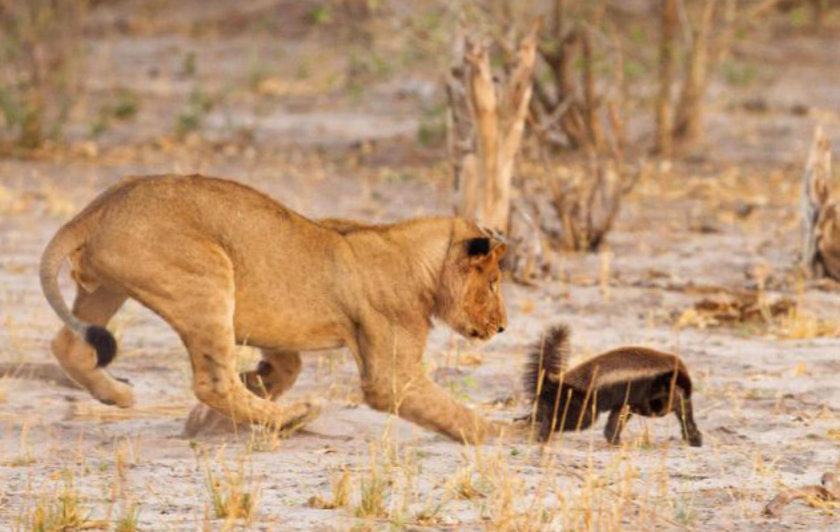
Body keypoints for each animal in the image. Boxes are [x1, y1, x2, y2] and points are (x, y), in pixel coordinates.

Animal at [41, 175, 506, 444]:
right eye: (494, 282)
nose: (502, 328)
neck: (421, 262)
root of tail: (98, 207)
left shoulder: (278, 331)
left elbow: (284, 369)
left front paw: (209, 419)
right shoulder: (391, 375)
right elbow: (447, 409)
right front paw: (504, 431)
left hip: (108, 288)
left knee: (68, 344)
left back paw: (118, 395)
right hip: (208, 277)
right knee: (213, 382)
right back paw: (294, 417)